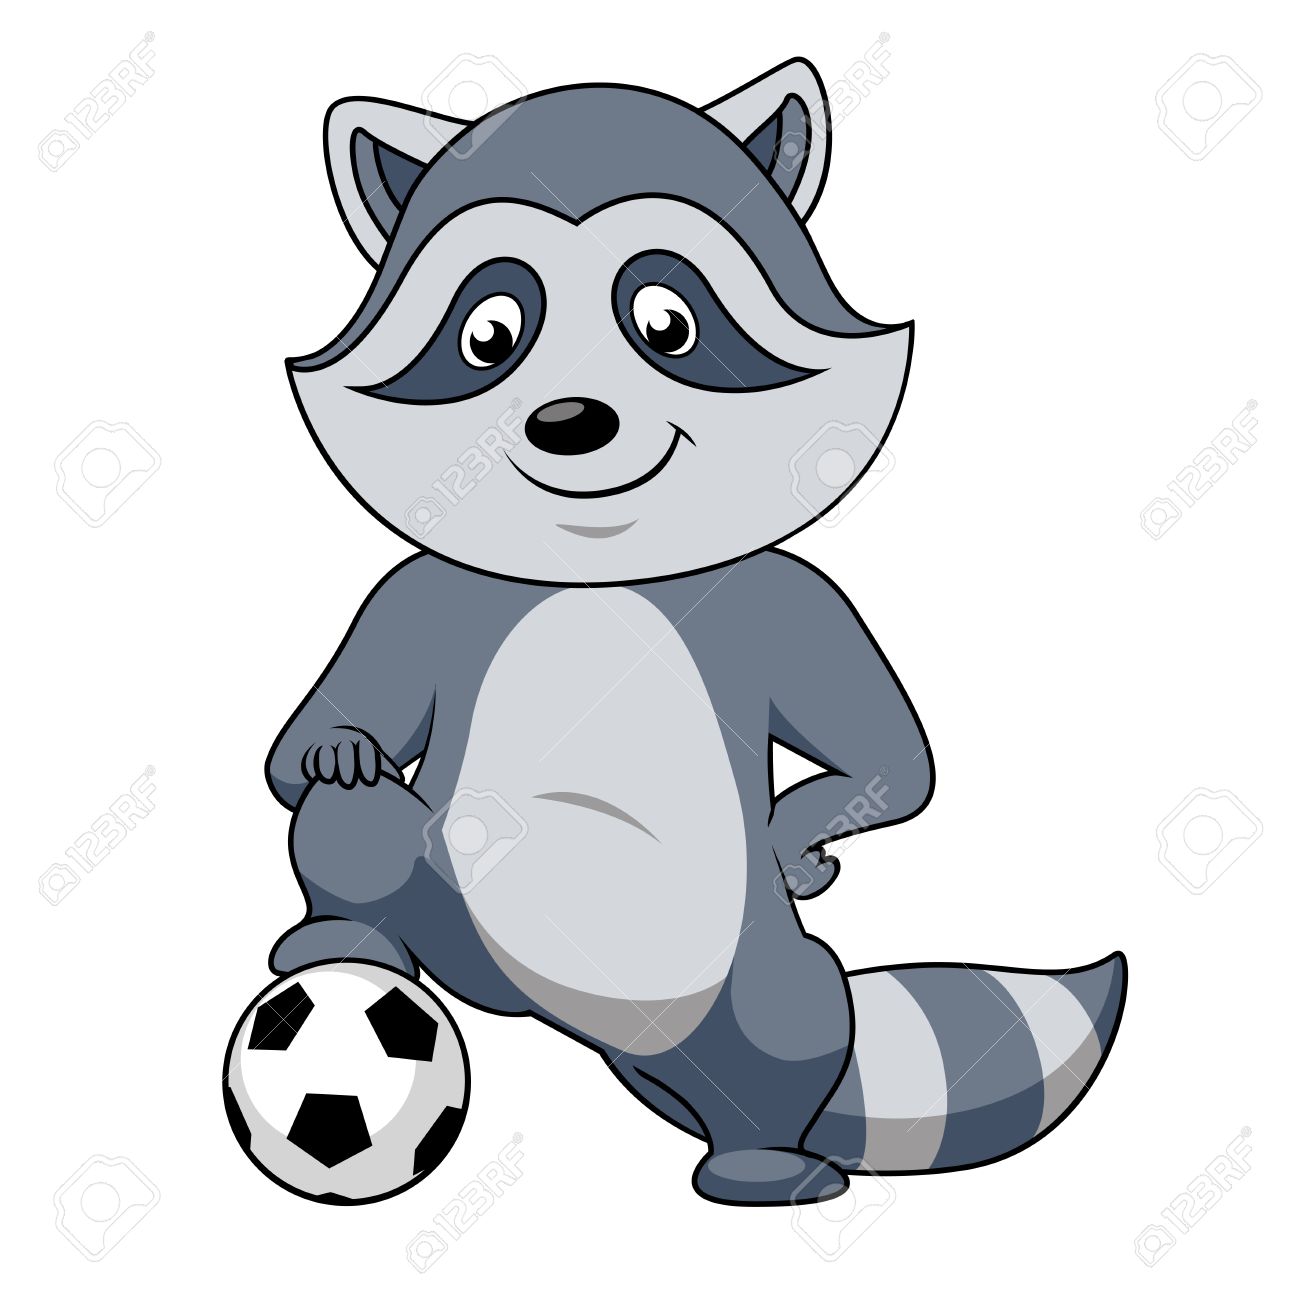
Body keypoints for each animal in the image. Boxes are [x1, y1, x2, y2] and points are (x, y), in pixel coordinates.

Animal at [267, 59, 1126, 1206]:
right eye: (489, 334)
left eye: (667, 322)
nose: (569, 421)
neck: (600, 573)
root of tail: (574, 1021)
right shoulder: (412, 599)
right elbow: (309, 746)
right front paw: (338, 747)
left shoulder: (797, 604)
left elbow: (890, 760)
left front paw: (799, 837)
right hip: (445, 902)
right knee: (351, 823)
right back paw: (339, 932)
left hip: (750, 990)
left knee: (789, 1032)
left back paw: (766, 1165)